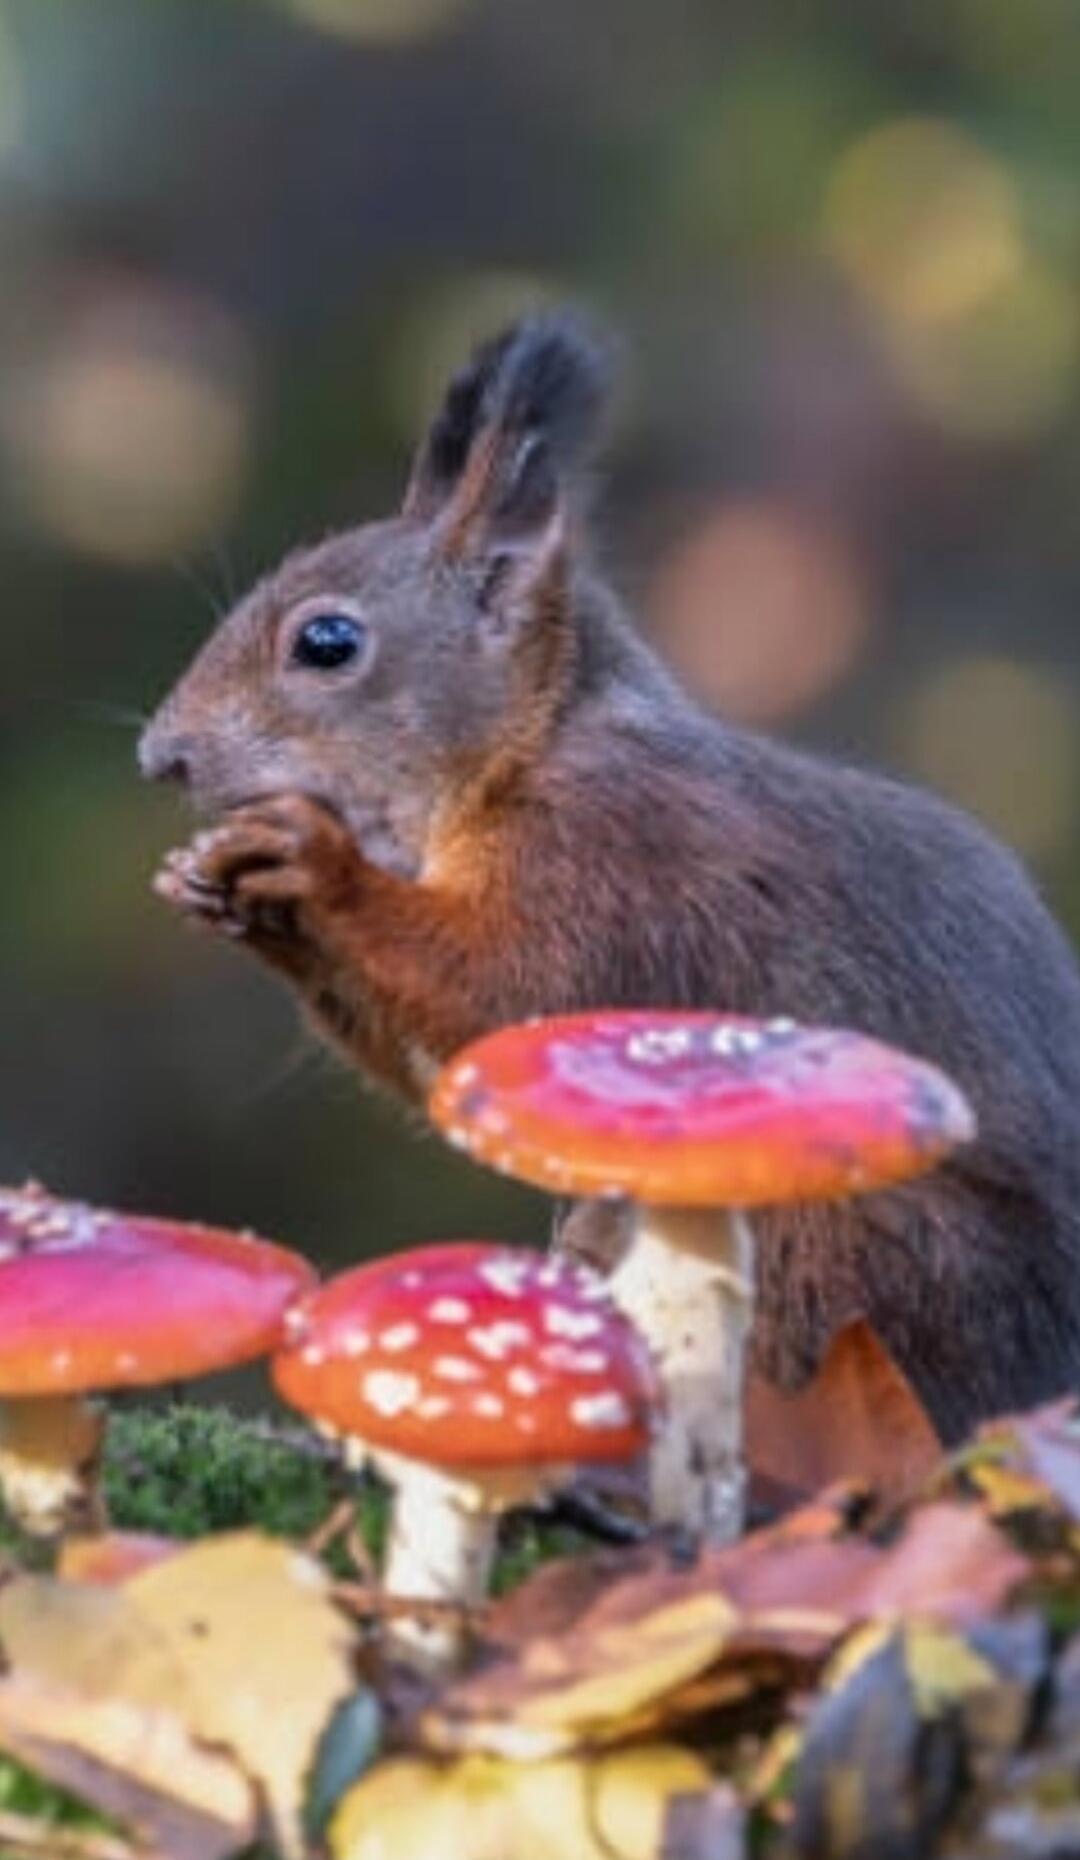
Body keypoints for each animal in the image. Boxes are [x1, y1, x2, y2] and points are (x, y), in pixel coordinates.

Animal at [139, 311, 1080, 1445]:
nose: (161, 758)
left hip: (838, 1244)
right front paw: (215, 889)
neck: (534, 746)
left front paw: (317, 867)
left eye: (327, 642)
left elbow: (517, 987)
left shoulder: (626, 858)